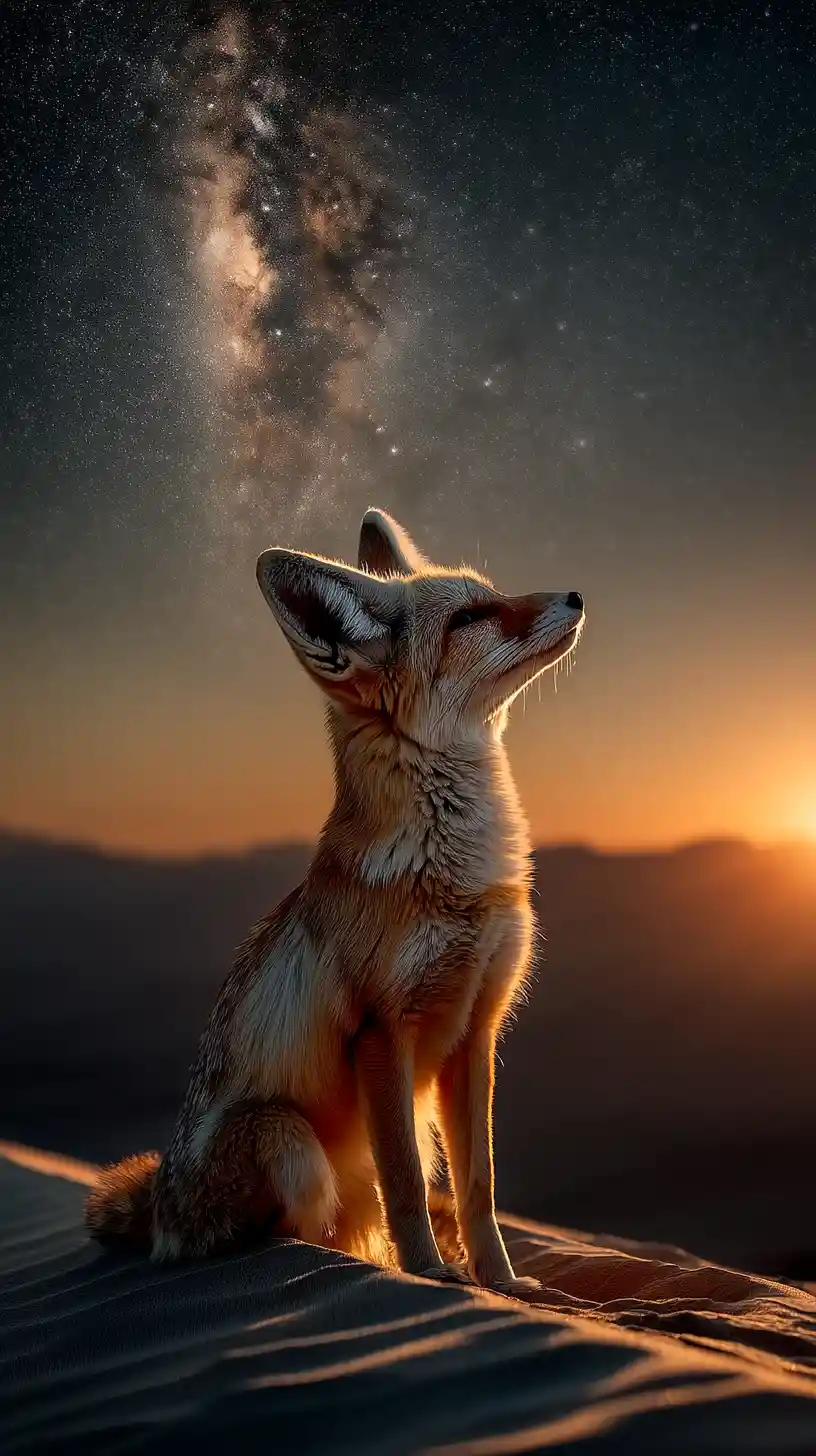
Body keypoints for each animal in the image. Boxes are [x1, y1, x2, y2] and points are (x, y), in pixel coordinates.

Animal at [85, 508, 585, 1294]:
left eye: (492, 593)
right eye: (470, 618)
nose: (575, 595)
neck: (461, 877)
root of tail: (161, 1204)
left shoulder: (477, 1032)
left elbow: (480, 1187)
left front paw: (501, 1283)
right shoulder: (382, 1032)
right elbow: (406, 1183)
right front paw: (429, 1275)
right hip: (290, 1142)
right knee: (291, 1233)